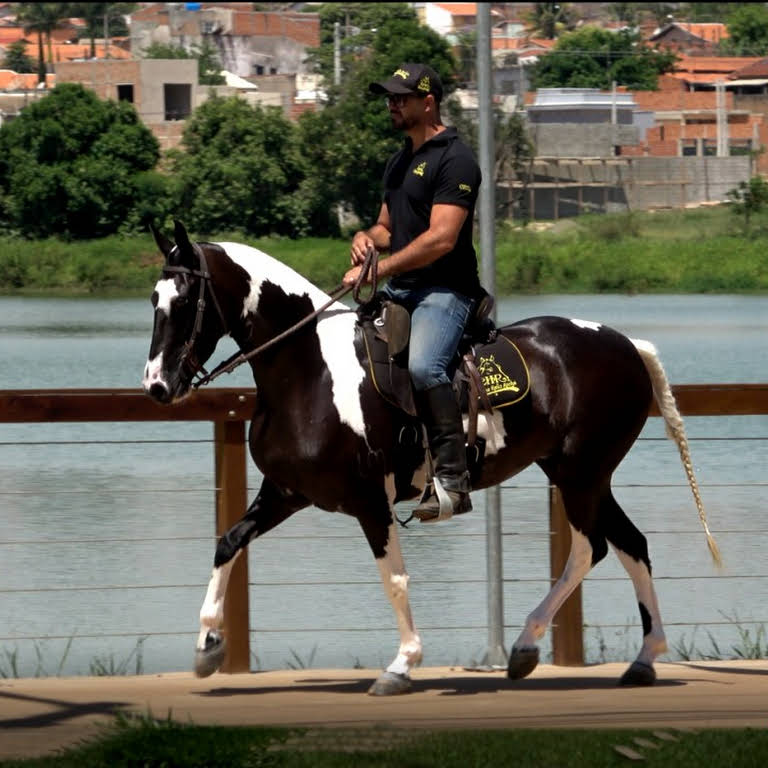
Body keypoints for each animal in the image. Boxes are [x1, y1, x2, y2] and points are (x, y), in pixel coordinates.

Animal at [142, 222, 720, 696]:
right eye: (153, 299)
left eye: (185, 300)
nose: (157, 386)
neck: (309, 368)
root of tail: (626, 344)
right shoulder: (286, 493)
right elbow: (228, 543)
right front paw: (207, 647)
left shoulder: (370, 502)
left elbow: (395, 580)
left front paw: (402, 665)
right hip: (582, 474)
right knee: (630, 545)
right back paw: (641, 660)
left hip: (582, 474)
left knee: (588, 549)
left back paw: (526, 647)